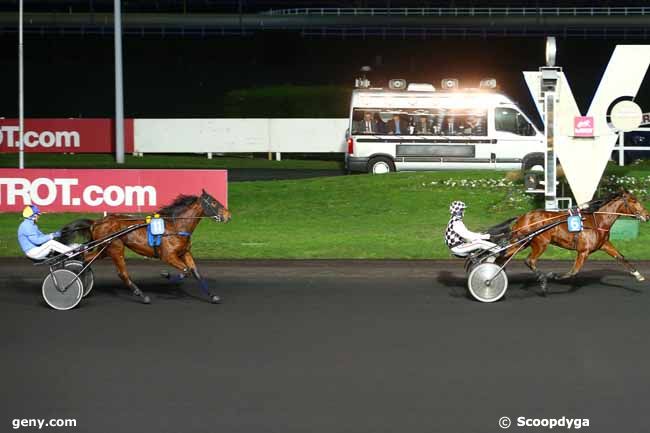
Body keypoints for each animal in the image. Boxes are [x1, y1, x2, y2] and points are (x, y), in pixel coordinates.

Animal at [58, 189, 230, 304]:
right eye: (213, 202)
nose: (228, 215)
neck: (176, 226)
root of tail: (96, 222)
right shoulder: (168, 256)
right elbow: (185, 271)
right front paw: (166, 274)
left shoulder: (185, 253)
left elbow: (195, 272)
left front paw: (212, 296)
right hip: (115, 247)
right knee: (122, 274)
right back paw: (141, 295)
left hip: (104, 250)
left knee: (85, 259)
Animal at [496, 189, 644, 294]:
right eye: (633, 200)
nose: (646, 215)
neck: (597, 221)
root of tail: (522, 216)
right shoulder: (584, 251)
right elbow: (574, 271)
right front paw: (553, 275)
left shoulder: (604, 245)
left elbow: (621, 257)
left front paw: (638, 276)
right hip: (540, 242)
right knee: (529, 261)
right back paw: (542, 281)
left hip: (522, 243)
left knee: (503, 256)